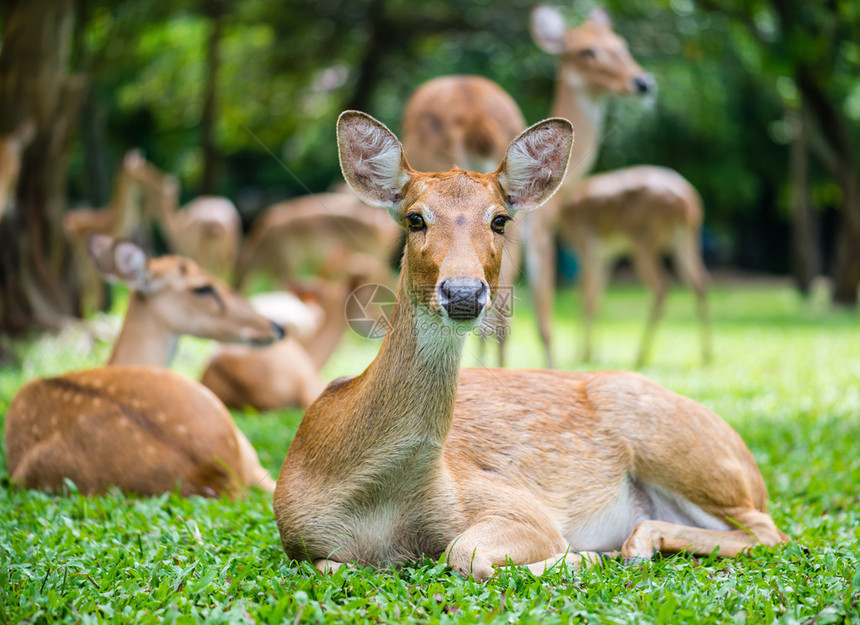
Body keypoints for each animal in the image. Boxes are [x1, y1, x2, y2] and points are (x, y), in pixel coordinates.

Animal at [272, 111, 788, 580]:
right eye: (415, 218)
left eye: (500, 220)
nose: (463, 292)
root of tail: (749, 464)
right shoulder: (300, 539)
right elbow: (332, 567)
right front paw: (588, 556)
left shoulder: (511, 501)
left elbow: (464, 553)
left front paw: (582, 556)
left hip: (679, 445)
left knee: (771, 531)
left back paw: (632, 546)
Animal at [528, 3, 708, 366]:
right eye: (587, 51)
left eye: (622, 45)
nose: (642, 81)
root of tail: (689, 201)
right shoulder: (592, 247)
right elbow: (589, 297)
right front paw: (586, 354)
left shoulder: (590, 244)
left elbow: (588, 297)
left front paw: (586, 354)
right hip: (674, 237)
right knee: (694, 283)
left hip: (654, 237)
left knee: (672, 285)